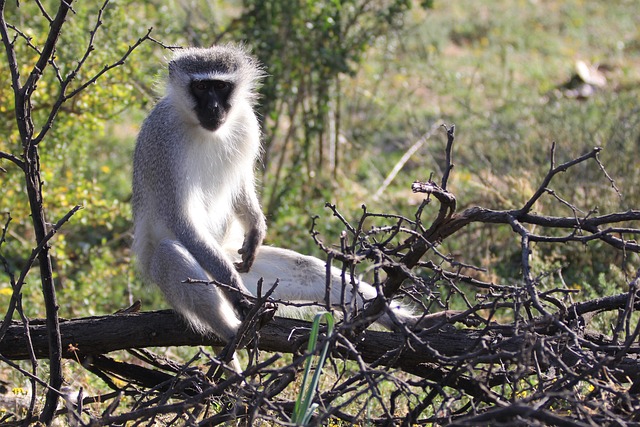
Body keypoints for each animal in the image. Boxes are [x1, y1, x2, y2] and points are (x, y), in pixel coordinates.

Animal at [131, 44, 430, 344]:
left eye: (221, 86)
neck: (204, 129)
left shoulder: (247, 122)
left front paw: (256, 228)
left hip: (242, 265)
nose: (214, 107)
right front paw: (239, 300)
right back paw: (236, 330)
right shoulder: (163, 141)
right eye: (201, 87)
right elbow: (182, 220)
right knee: (169, 253)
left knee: (307, 267)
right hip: (205, 265)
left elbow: (241, 183)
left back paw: (402, 319)